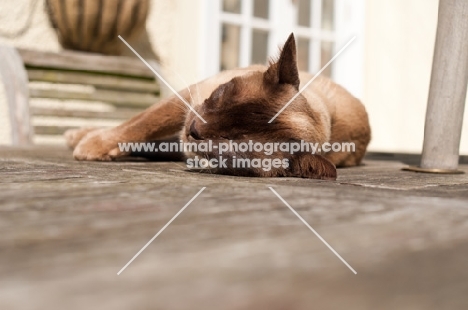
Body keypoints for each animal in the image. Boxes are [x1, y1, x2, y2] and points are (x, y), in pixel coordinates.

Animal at [66, 33, 372, 179]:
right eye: (221, 95)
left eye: (232, 142)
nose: (193, 130)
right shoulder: (188, 100)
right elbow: (140, 123)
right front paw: (94, 144)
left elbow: (141, 133)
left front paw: (94, 147)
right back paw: (79, 135)